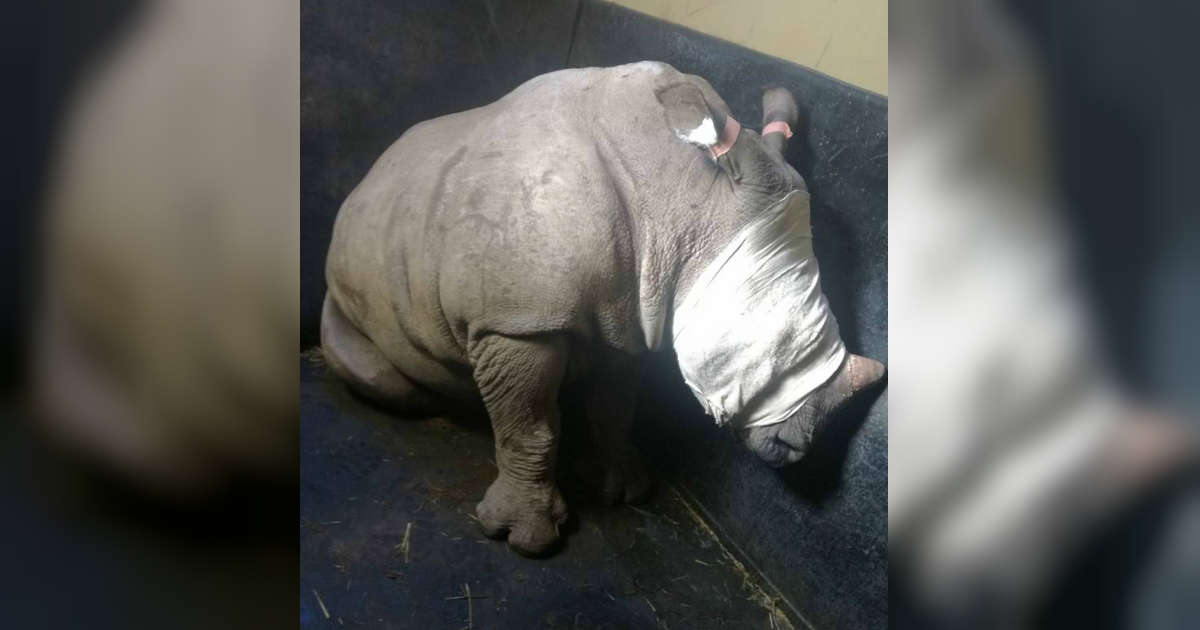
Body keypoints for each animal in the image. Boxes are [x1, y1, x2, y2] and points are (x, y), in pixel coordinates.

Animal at [322, 61, 885, 555]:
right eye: (766, 338)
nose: (799, 448)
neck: (683, 193)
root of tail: (363, 184)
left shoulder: (632, 310)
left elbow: (615, 406)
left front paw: (628, 489)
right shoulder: (517, 323)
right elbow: (527, 428)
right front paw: (525, 539)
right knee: (386, 377)